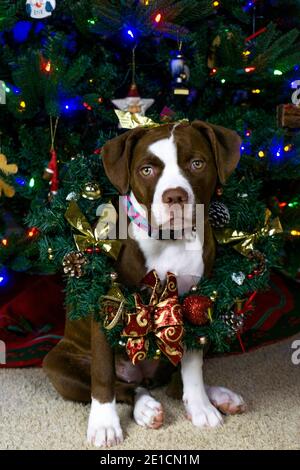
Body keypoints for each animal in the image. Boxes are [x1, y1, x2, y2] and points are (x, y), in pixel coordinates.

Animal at [44, 118, 246, 448]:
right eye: (147, 170)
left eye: (197, 163)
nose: (174, 196)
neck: (170, 242)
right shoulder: (105, 300)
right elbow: (103, 374)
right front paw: (104, 425)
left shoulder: (195, 302)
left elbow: (192, 366)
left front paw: (201, 407)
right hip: (58, 365)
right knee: (124, 387)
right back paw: (146, 407)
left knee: (174, 383)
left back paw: (217, 396)